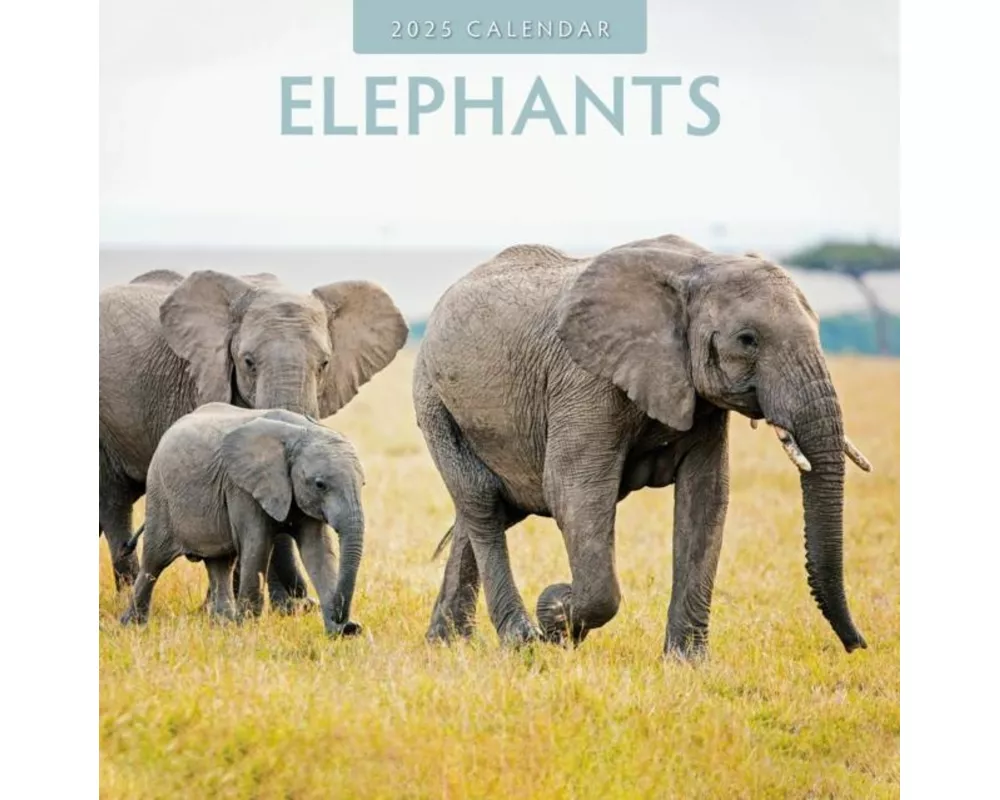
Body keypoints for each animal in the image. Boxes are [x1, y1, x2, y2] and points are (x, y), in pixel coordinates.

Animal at [99, 268, 407, 609]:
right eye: (248, 362)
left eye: (325, 364)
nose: (304, 602)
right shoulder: (200, 381)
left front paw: (286, 609)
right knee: (114, 503)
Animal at [119, 403, 366, 636]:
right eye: (320, 484)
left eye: (363, 484)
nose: (341, 617)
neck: (300, 432)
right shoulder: (241, 488)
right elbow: (257, 545)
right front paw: (248, 630)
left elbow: (318, 550)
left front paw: (343, 632)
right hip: (160, 495)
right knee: (154, 561)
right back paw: (132, 625)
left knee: (220, 563)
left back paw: (223, 625)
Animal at [414, 234, 872, 658]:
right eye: (747, 340)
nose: (858, 646)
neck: (700, 265)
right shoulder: (585, 381)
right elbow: (574, 492)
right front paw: (556, 615)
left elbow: (707, 497)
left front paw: (687, 663)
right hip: (433, 399)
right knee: (483, 503)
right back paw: (520, 640)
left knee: (488, 509)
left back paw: (447, 643)